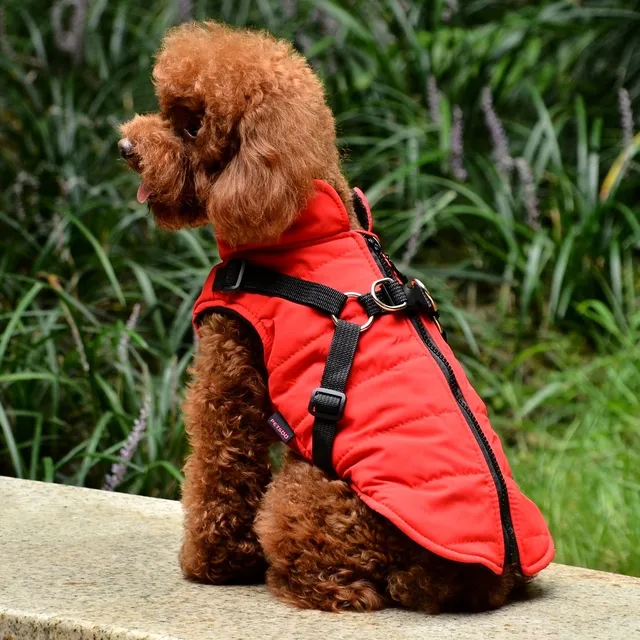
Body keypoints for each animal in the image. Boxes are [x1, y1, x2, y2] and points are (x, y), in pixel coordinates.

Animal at [120, 22, 524, 612]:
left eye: (192, 125)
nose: (124, 146)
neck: (299, 223)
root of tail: (472, 578)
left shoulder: (228, 370)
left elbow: (219, 471)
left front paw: (211, 565)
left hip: (305, 491)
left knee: (341, 583)